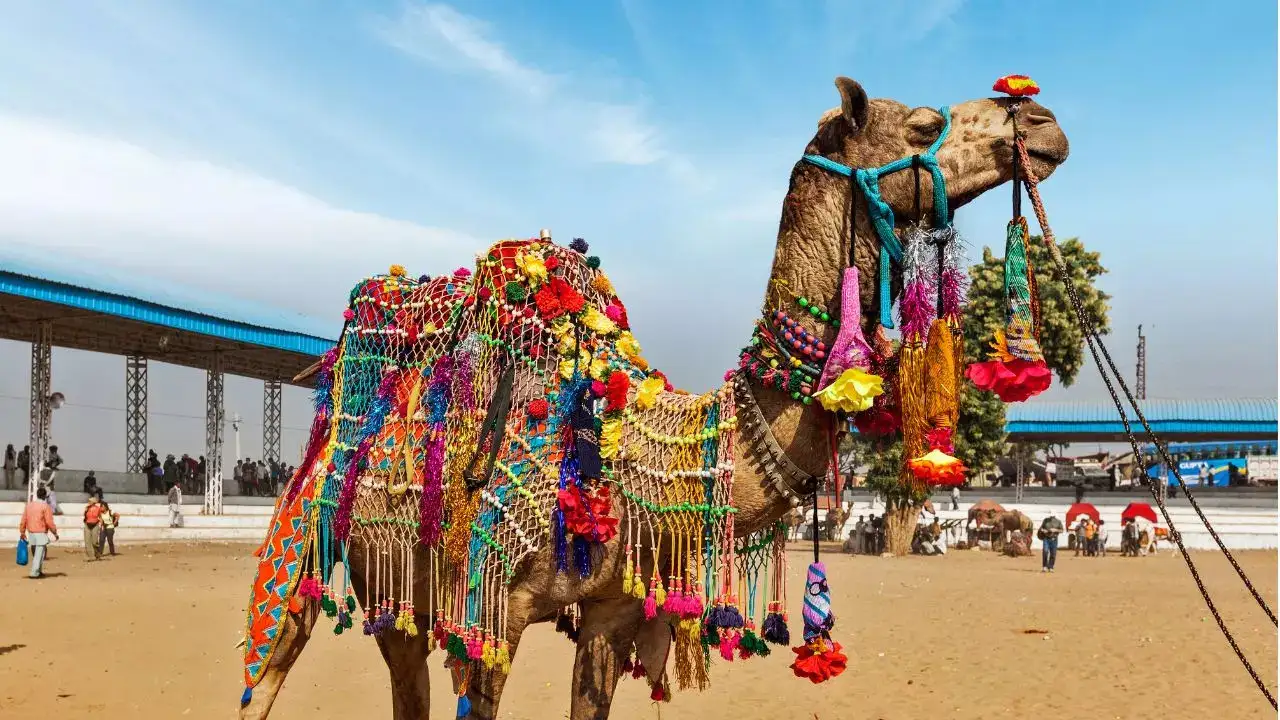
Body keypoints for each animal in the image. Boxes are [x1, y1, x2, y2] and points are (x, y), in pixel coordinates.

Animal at [239, 76, 1068, 720]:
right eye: (925, 123)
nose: (1041, 122)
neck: (628, 449)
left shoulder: (610, 612)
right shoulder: (492, 613)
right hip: (332, 555)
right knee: (274, 664)